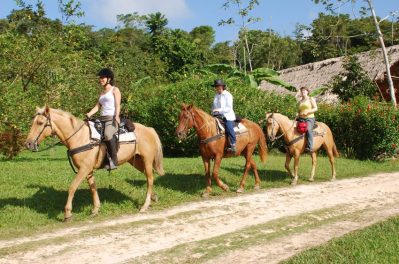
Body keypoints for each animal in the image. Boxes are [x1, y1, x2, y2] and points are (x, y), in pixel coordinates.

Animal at [24, 105, 164, 221]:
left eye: (40, 122)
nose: (28, 143)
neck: (80, 137)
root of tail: (149, 129)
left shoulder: (84, 169)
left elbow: (72, 187)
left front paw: (68, 214)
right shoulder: (88, 170)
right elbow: (93, 188)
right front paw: (95, 210)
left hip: (146, 160)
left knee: (150, 179)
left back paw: (145, 205)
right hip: (137, 162)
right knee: (148, 177)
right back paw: (153, 197)